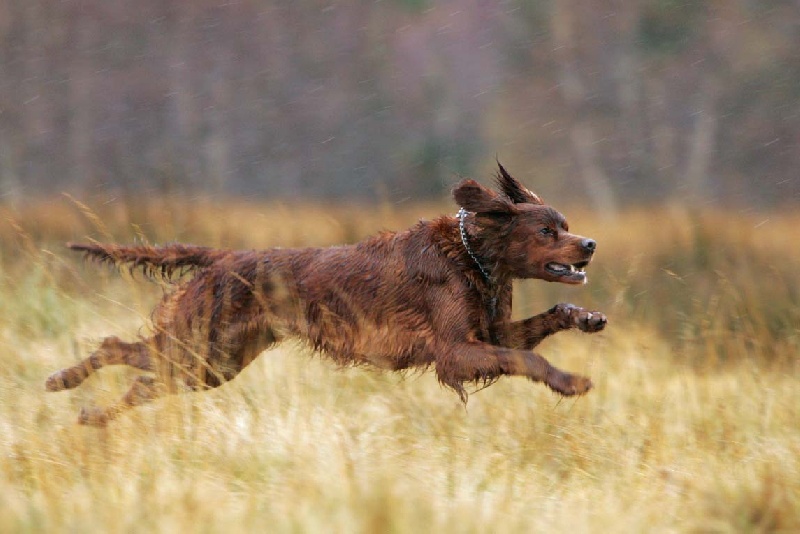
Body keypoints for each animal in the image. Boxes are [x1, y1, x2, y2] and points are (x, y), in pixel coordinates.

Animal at [45, 163, 608, 428]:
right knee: (117, 348)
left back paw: (92, 415)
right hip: (197, 346)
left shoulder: (489, 332)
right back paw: (62, 380)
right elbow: (527, 361)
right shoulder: (455, 351)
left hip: (213, 363)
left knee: (143, 382)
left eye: (565, 226)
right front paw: (570, 381)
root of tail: (222, 258)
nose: (590, 244)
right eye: (545, 232)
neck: (470, 256)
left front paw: (585, 318)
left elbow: (545, 320)